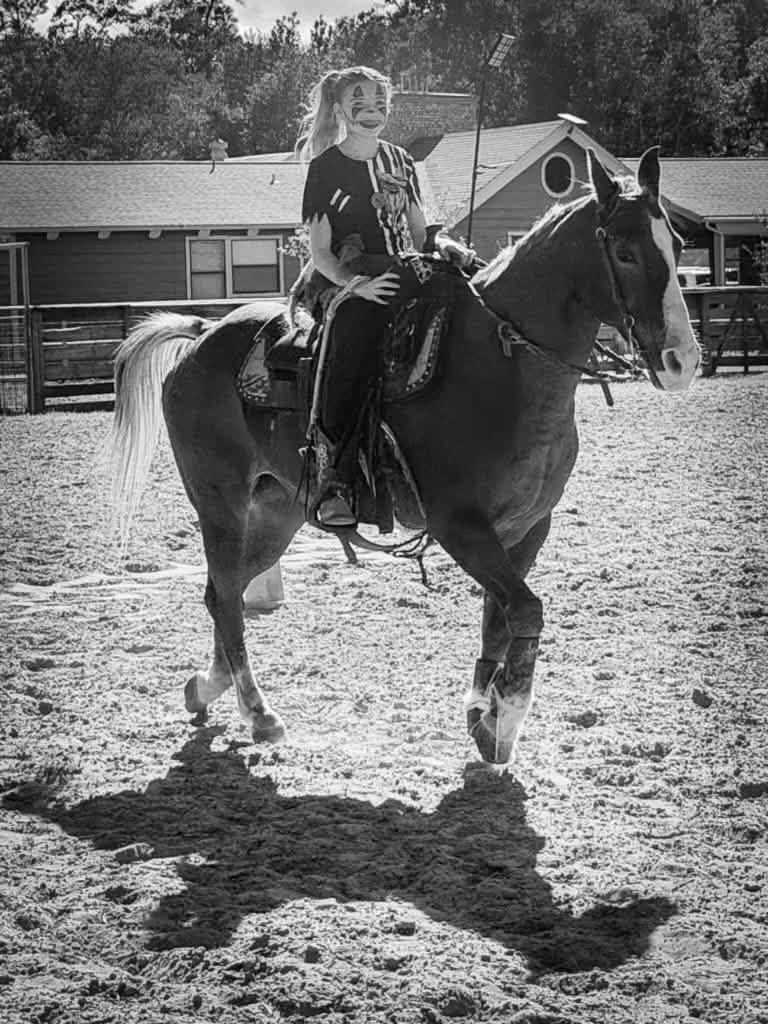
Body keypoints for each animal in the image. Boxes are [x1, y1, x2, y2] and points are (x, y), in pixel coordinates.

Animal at [109, 148, 700, 765]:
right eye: (625, 252)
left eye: (678, 245)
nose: (682, 360)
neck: (503, 367)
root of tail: (202, 334)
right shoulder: (459, 524)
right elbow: (525, 611)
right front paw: (505, 720)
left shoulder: (528, 527)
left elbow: (499, 619)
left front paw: (482, 712)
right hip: (219, 503)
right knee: (226, 596)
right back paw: (258, 711)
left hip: (277, 512)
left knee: (220, 592)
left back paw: (206, 687)